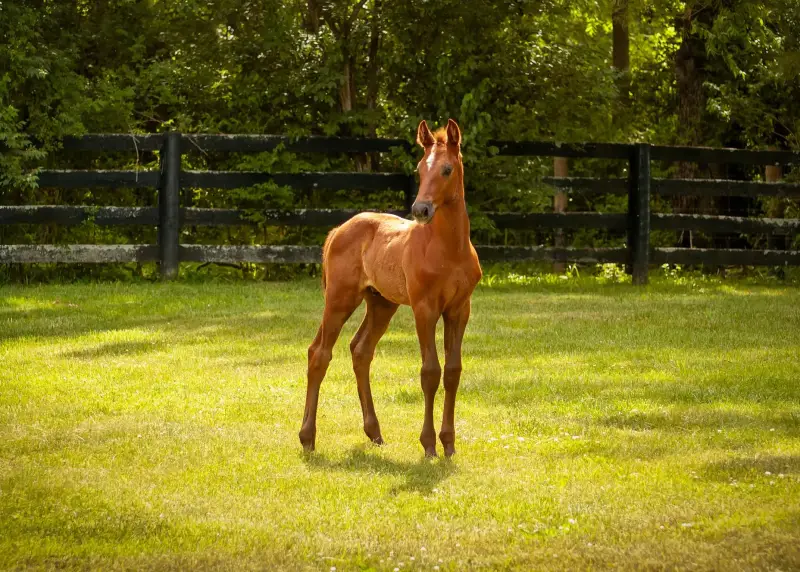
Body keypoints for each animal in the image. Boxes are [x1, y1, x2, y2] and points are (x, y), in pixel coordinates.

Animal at [299, 119, 482, 457]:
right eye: (420, 169)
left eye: (447, 169)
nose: (421, 209)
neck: (450, 249)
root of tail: (338, 230)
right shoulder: (424, 309)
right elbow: (430, 372)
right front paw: (428, 445)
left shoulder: (459, 310)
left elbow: (452, 371)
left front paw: (449, 444)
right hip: (340, 299)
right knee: (319, 353)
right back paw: (307, 437)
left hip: (382, 303)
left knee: (361, 351)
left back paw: (374, 432)